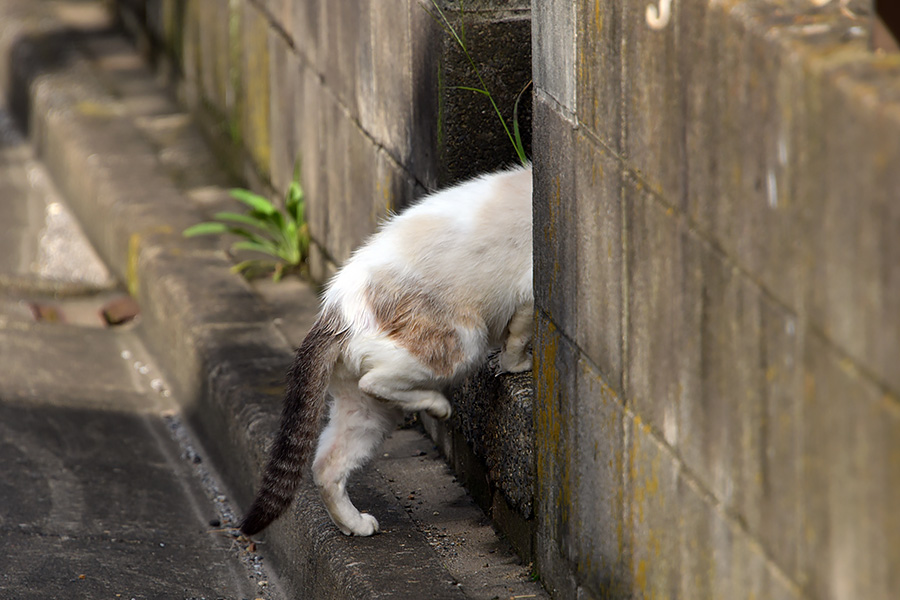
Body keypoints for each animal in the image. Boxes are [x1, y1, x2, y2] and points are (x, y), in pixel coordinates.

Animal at [241, 163, 536, 536]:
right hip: (463, 342)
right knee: (377, 382)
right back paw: (438, 405)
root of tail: (334, 309)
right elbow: (518, 338)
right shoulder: (529, 292)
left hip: (365, 411)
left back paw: (355, 524)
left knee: (327, 464)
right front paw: (518, 365)